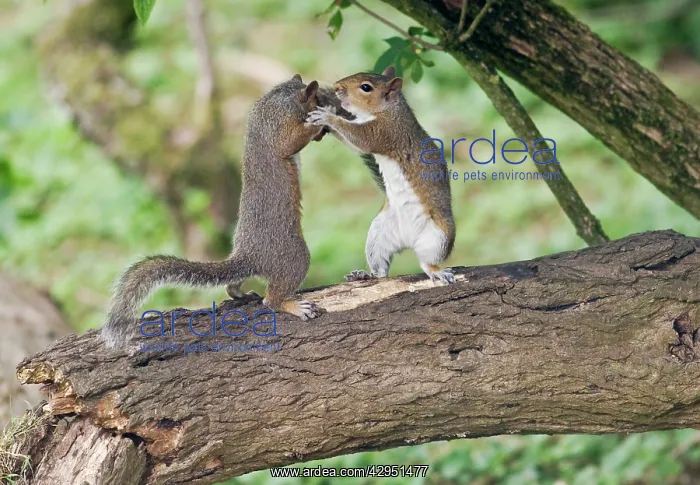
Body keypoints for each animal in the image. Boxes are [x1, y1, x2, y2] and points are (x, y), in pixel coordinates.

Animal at [101, 74, 330, 348]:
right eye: (319, 99)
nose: (325, 131)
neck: (278, 98)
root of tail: (249, 256)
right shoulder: (278, 126)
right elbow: (290, 142)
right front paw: (318, 125)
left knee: (233, 286)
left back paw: (241, 294)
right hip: (294, 256)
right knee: (271, 300)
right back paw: (292, 306)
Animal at [306, 66, 456, 285]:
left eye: (366, 87)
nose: (336, 87)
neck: (389, 109)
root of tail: (408, 241)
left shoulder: (386, 132)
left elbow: (360, 139)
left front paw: (328, 116)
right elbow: (351, 142)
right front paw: (330, 113)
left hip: (439, 238)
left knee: (427, 262)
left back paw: (436, 271)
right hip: (378, 234)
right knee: (382, 268)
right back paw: (366, 274)